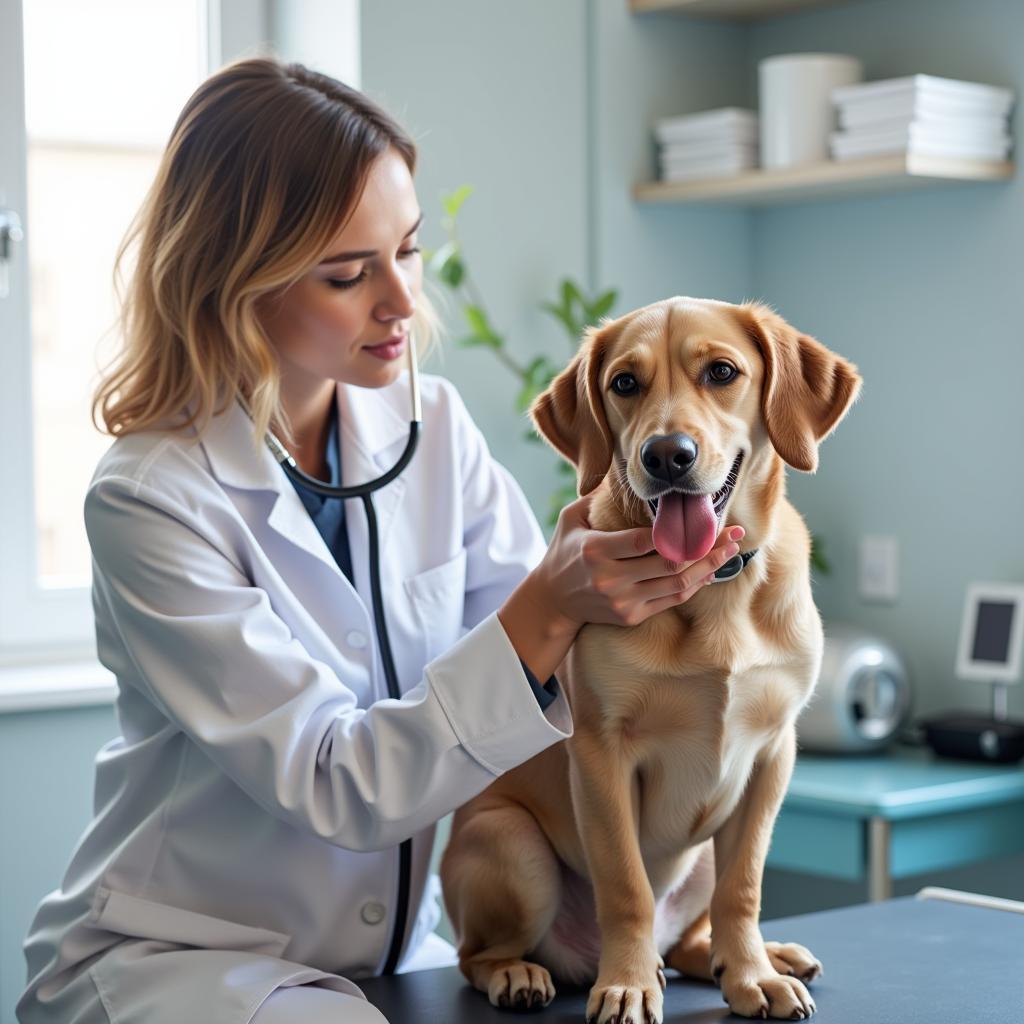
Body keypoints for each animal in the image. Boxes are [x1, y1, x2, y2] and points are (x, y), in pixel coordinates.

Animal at [444, 299, 860, 1024]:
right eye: (624, 383)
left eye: (721, 372)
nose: (667, 455)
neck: (713, 589)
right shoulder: (601, 754)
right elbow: (626, 887)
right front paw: (628, 986)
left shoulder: (772, 756)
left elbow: (744, 889)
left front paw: (753, 976)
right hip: (510, 844)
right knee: (476, 954)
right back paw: (521, 973)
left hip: (702, 850)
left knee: (699, 932)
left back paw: (762, 956)